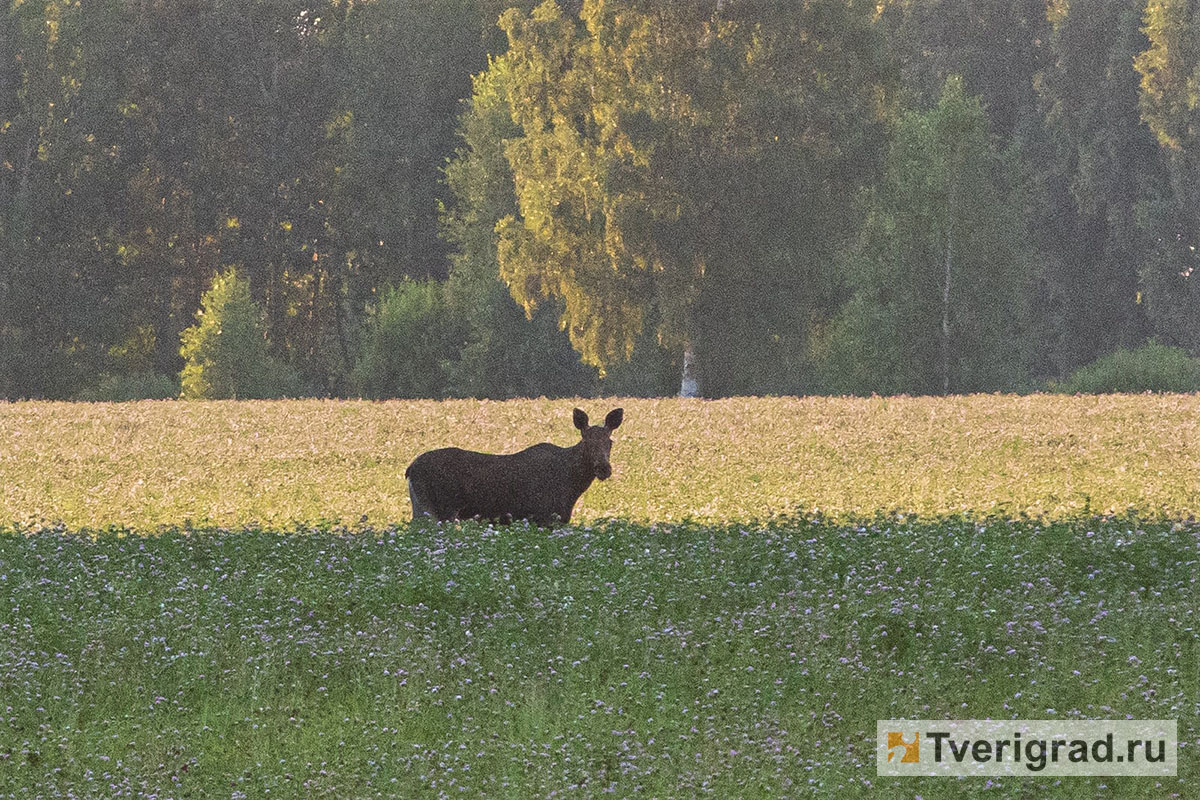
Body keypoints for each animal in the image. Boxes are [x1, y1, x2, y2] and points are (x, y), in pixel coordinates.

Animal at [405, 407, 624, 525]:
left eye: (610, 442)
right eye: (586, 442)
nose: (604, 468)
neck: (571, 486)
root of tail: (410, 469)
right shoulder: (542, 515)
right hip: (441, 508)